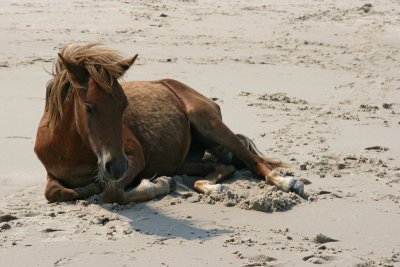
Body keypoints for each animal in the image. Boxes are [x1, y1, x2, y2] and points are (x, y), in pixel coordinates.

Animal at [34, 43, 304, 205]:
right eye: (89, 108)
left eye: (124, 105)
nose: (117, 167)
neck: (70, 150)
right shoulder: (52, 175)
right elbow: (56, 192)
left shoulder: (135, 157)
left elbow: (111, 192)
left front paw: (160, 184)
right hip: (182, 161)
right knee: (223, 166)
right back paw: (211, 187)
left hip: (209, 123)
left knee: (253, 161)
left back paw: (287, 183)